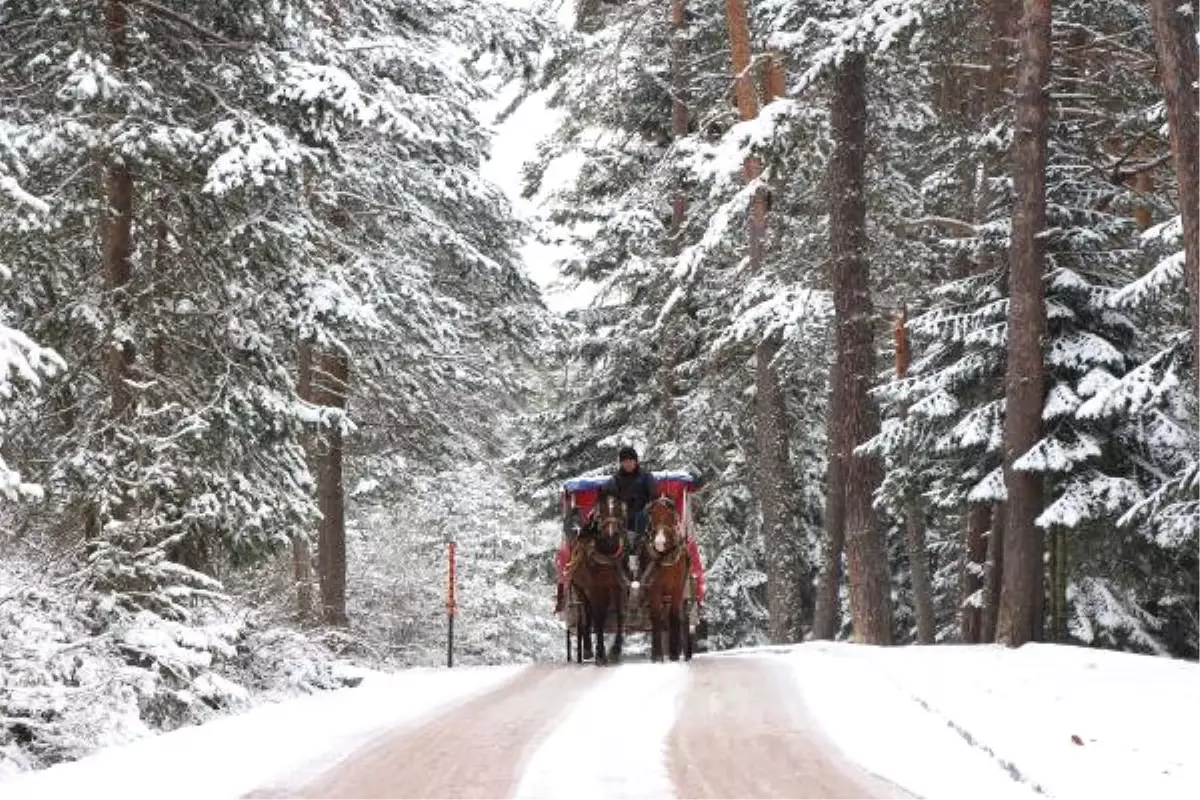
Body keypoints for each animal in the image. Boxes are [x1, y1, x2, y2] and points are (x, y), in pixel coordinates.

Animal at [571, 491, 628, 666]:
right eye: (600, 512)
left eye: (619, 508)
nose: (611, 535)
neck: (607, 555)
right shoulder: (596, 589)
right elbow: (599, 619)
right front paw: (601, 654)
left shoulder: (618, 586)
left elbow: (620, 614)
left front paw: (615, 650)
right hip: (580, 589)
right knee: (587, 616)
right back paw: (588, 649)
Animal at [643, 501, 691, 662]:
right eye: (652, 515)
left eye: (671, 515)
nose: (659, 542)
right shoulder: (653, 588)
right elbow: (656, 617)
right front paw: (657, 655)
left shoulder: (677, 588)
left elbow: (674, 616)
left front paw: (674, 653)